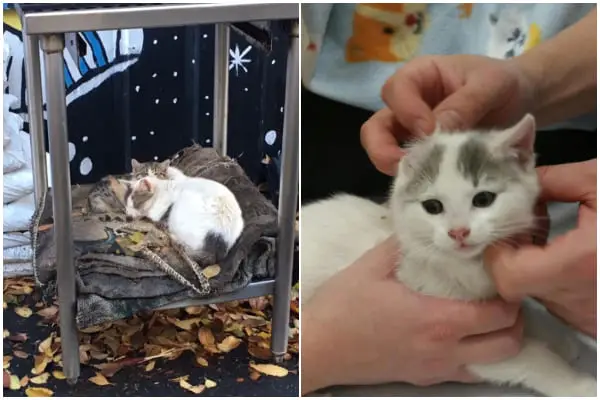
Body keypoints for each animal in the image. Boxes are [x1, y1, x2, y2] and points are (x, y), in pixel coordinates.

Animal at [300, 114, 596, 398]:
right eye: (432, 206)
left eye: (483, 199)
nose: (458, 231)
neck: (463, 266)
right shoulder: (468, 344)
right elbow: (529, 357)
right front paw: (576, 383)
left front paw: (557, 337)